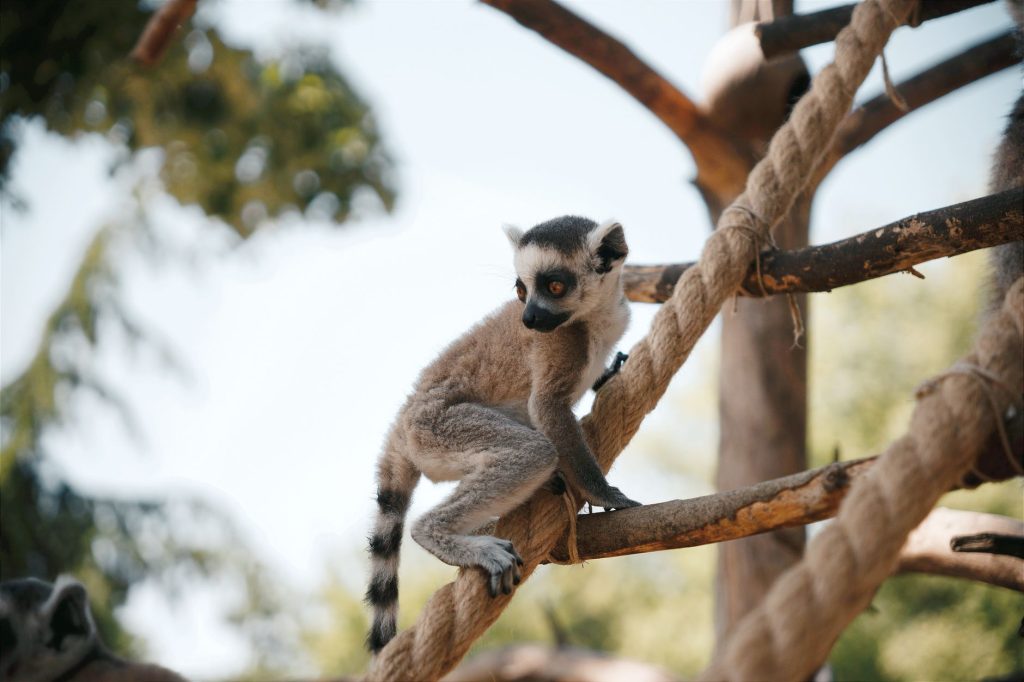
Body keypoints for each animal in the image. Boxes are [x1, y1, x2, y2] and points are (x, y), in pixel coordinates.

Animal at [365, 216, 641, 654]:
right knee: (532, 451)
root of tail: (402, 422)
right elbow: (546, 408)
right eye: (521, 289)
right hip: (439, 428)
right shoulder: (558, 345)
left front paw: (608, 374)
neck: (595, 316)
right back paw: (441, 534)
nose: (528, 319)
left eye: (554, 286)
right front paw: (606, 495)